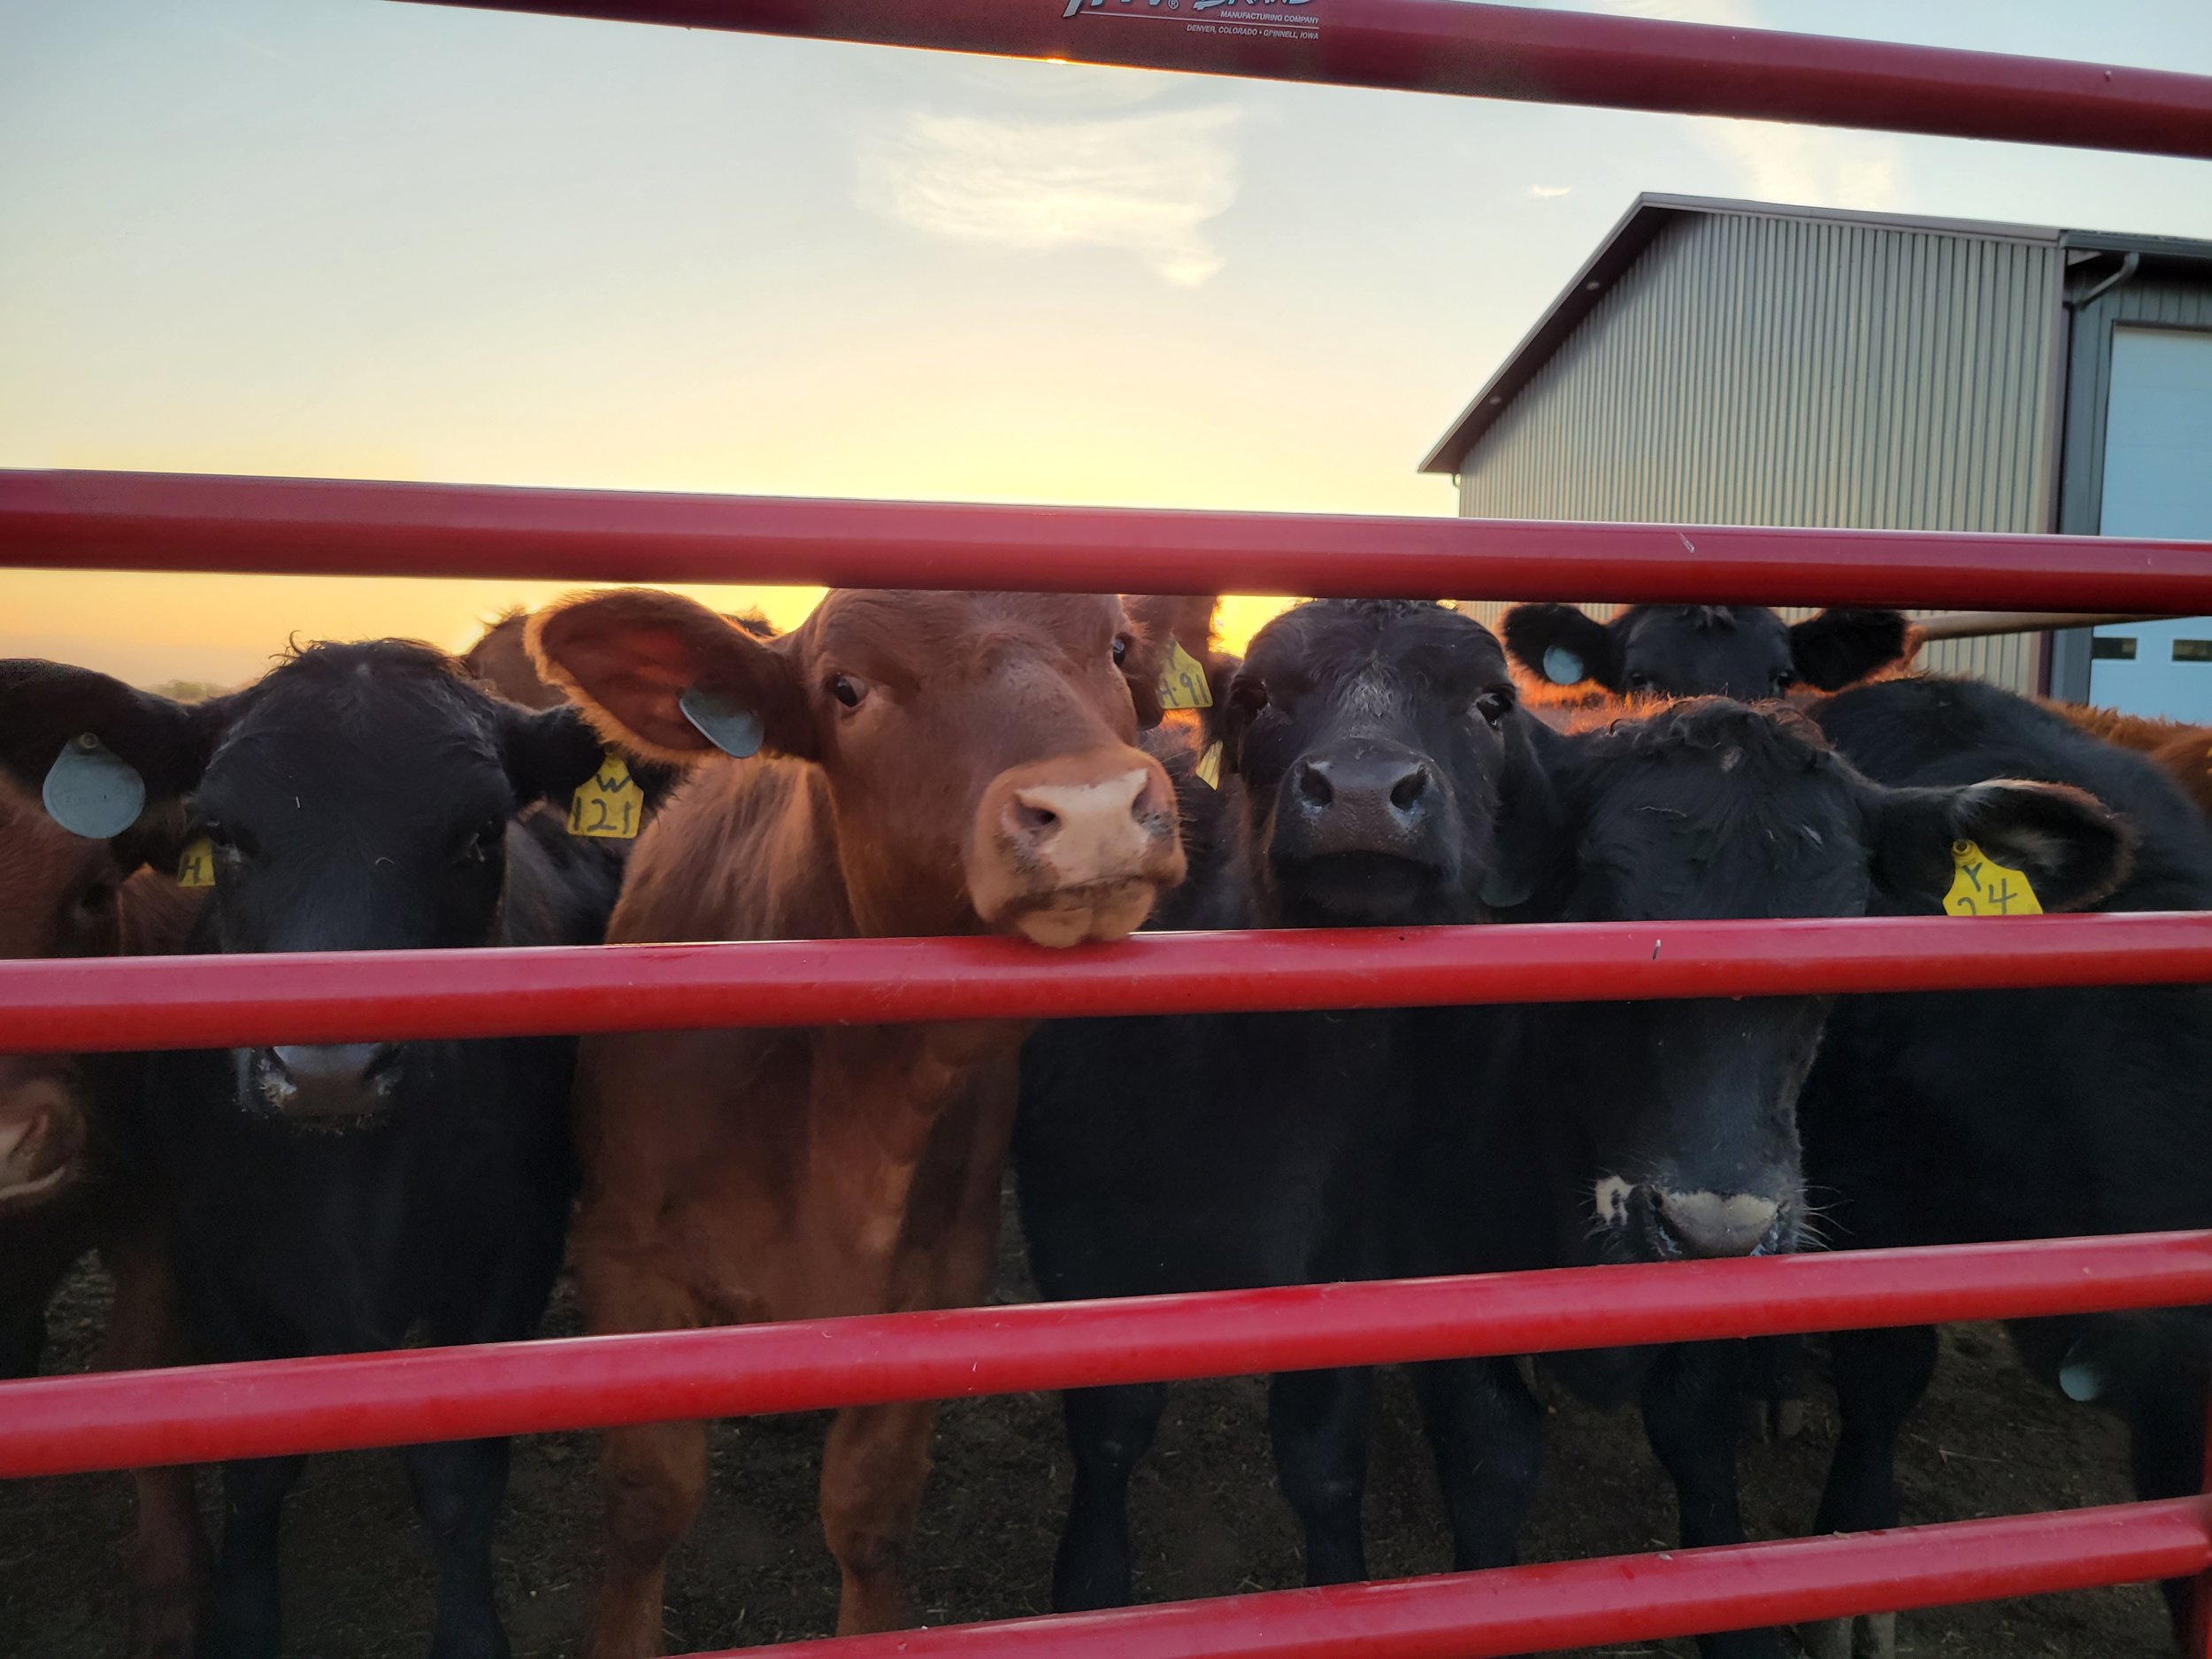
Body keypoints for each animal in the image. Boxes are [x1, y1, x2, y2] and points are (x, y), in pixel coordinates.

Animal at [0, 642, 625, 1659]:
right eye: (224, 834)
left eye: (480, 834)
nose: (328, 1069)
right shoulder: (210, 1254)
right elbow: (257, 1466)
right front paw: (244, 1619)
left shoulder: (514, 1257)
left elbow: (459, 1480)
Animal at [521, 587, 1188, 1655]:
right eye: (846, 688)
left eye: (1117, 646)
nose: (1090, 808)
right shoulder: (622, 1255)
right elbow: (647, 1504)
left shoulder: (938, 1279)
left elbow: (870, 1511)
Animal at [1016, 598, 1546, 1610]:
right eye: (1258, 696)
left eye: (1490, 702)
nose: (1364, 793)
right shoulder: (1074, 1230)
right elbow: (1110, 1430)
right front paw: (1088, 1584)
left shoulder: (1346, 1256)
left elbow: (1322, 1458)